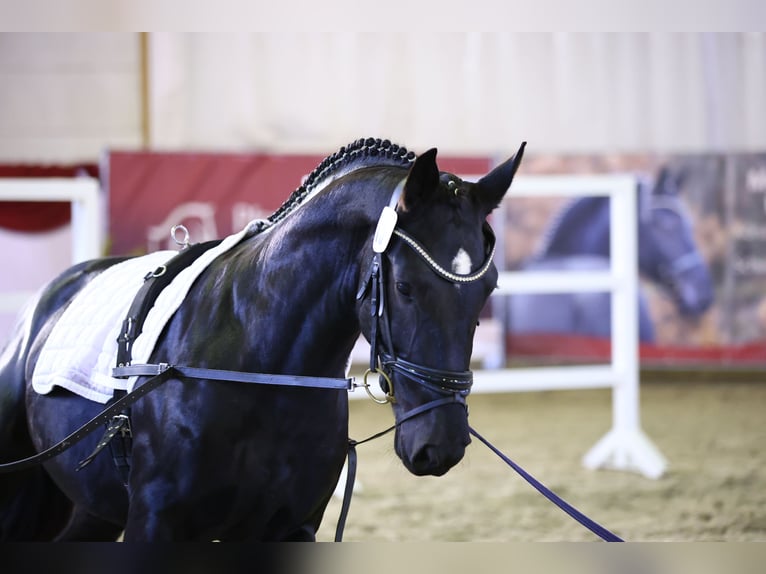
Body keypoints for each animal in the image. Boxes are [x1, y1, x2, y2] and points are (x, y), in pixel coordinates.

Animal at [0, 137, 528, 544]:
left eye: (488, 288)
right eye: (404, 287)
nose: (442, 445)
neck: (261, 367)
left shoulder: (290, 529)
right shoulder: (155, 523)